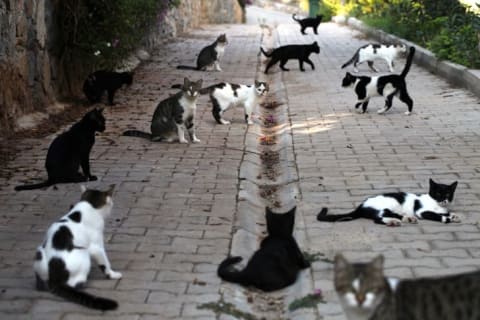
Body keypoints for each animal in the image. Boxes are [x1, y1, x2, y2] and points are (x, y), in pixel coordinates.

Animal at [316, 179, 460, 226]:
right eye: (438, 194)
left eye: (448, 194)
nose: (444, 200)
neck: (437, 206)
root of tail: (361, 205)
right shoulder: (421, 211)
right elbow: (434, 214)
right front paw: (446, 219)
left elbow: (447, 212)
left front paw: (453, 216)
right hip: (386, 205)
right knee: (378, 218)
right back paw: (395, 221)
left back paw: (404, 219)